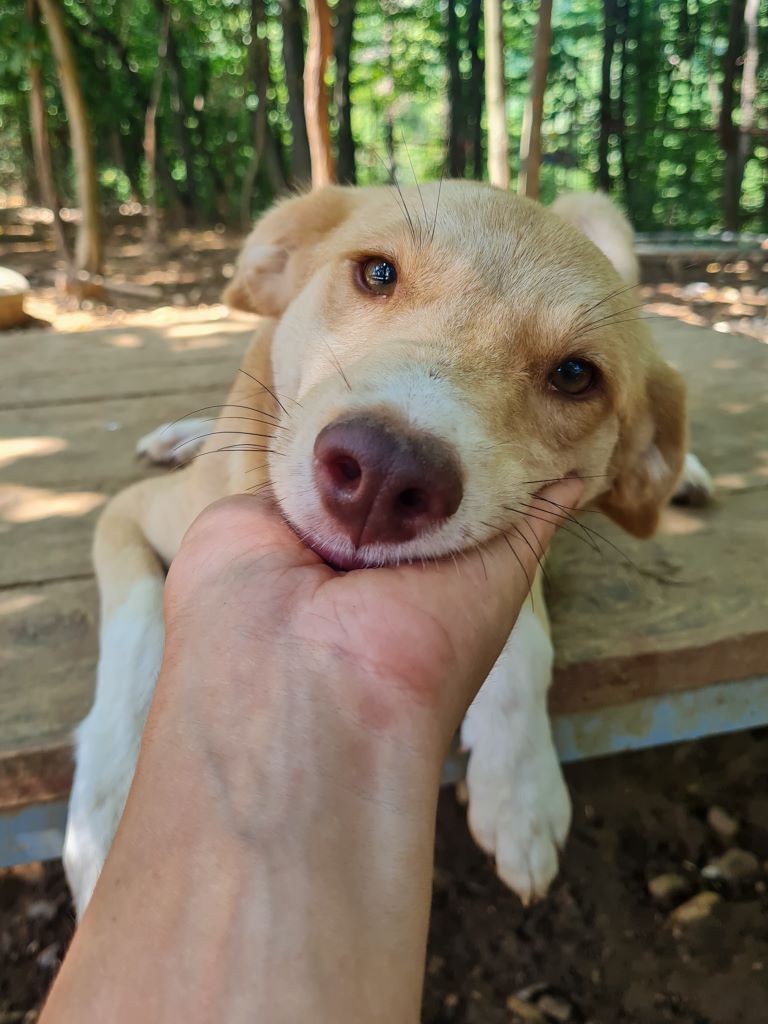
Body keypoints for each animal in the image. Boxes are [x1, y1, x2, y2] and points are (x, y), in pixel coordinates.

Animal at [67, 180, 696, 917]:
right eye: (377, 273)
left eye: (574, 375)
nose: (385, 475)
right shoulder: (127, 515)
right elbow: (136, 631)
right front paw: (106, 810)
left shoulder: (534, 532)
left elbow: (528, 640)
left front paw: (520, 784)